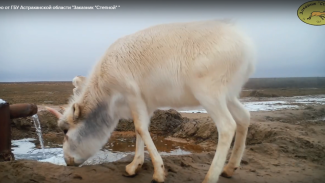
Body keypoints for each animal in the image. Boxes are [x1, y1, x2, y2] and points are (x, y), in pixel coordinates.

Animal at [45, 19, 256, 183]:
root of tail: (247, 47)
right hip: (228, 96)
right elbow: (141, 130)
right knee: (244, 117)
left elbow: (140, 128)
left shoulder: (132, 95)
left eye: (65, 131)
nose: (67, 161)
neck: (105, 89)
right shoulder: (145, 104)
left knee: (227, 126)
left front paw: (158, 173)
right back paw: (229, 168)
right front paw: (134, 167)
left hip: (209, 95)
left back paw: (211, 176)